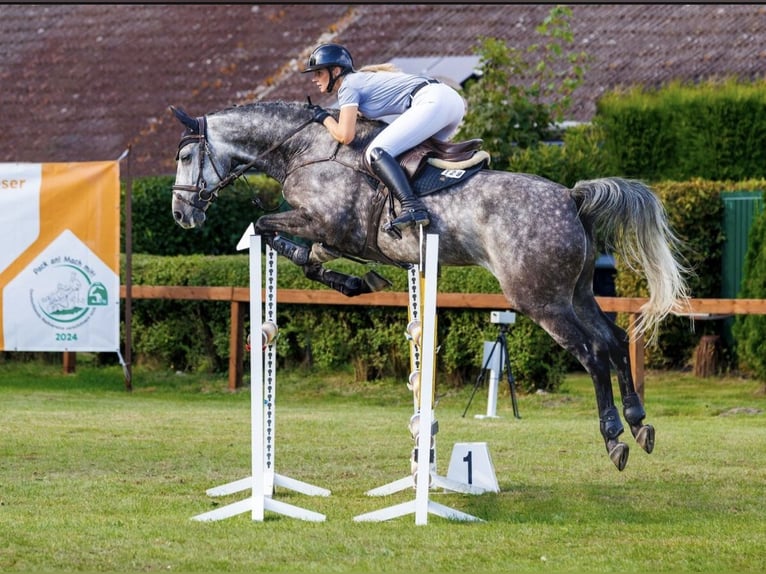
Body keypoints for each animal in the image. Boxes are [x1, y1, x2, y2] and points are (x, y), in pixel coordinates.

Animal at [171, 101, 692, 470]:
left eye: (185, 155)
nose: (181, 214)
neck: (305, 151)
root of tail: (570, 196)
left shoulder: (325, 222)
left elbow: (265, 225)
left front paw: (348, 275)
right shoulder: (331, 237)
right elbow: (308, 258)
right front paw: (358, 280)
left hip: (540, 300)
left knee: (592, 353)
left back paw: (614, 437)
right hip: (576, 292)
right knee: (615, 339)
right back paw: (639, 424)